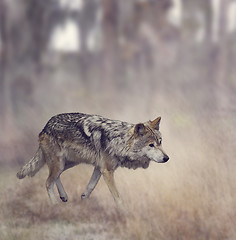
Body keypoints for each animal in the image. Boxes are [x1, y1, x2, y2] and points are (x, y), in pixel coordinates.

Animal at [16, 112, 169, 204]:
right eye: (151, 145)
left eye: (160, 142)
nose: (166, 158)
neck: (119, 140)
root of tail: (46, 126)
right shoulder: (107, 171)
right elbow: (118, 197)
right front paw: (124, 213)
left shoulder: (99, 167)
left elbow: (91, 186)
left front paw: (84, 198)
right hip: (60, 163)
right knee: (48, 182)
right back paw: (55, 205)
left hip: (68, 163)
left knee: (54, 177)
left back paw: (63, 196)